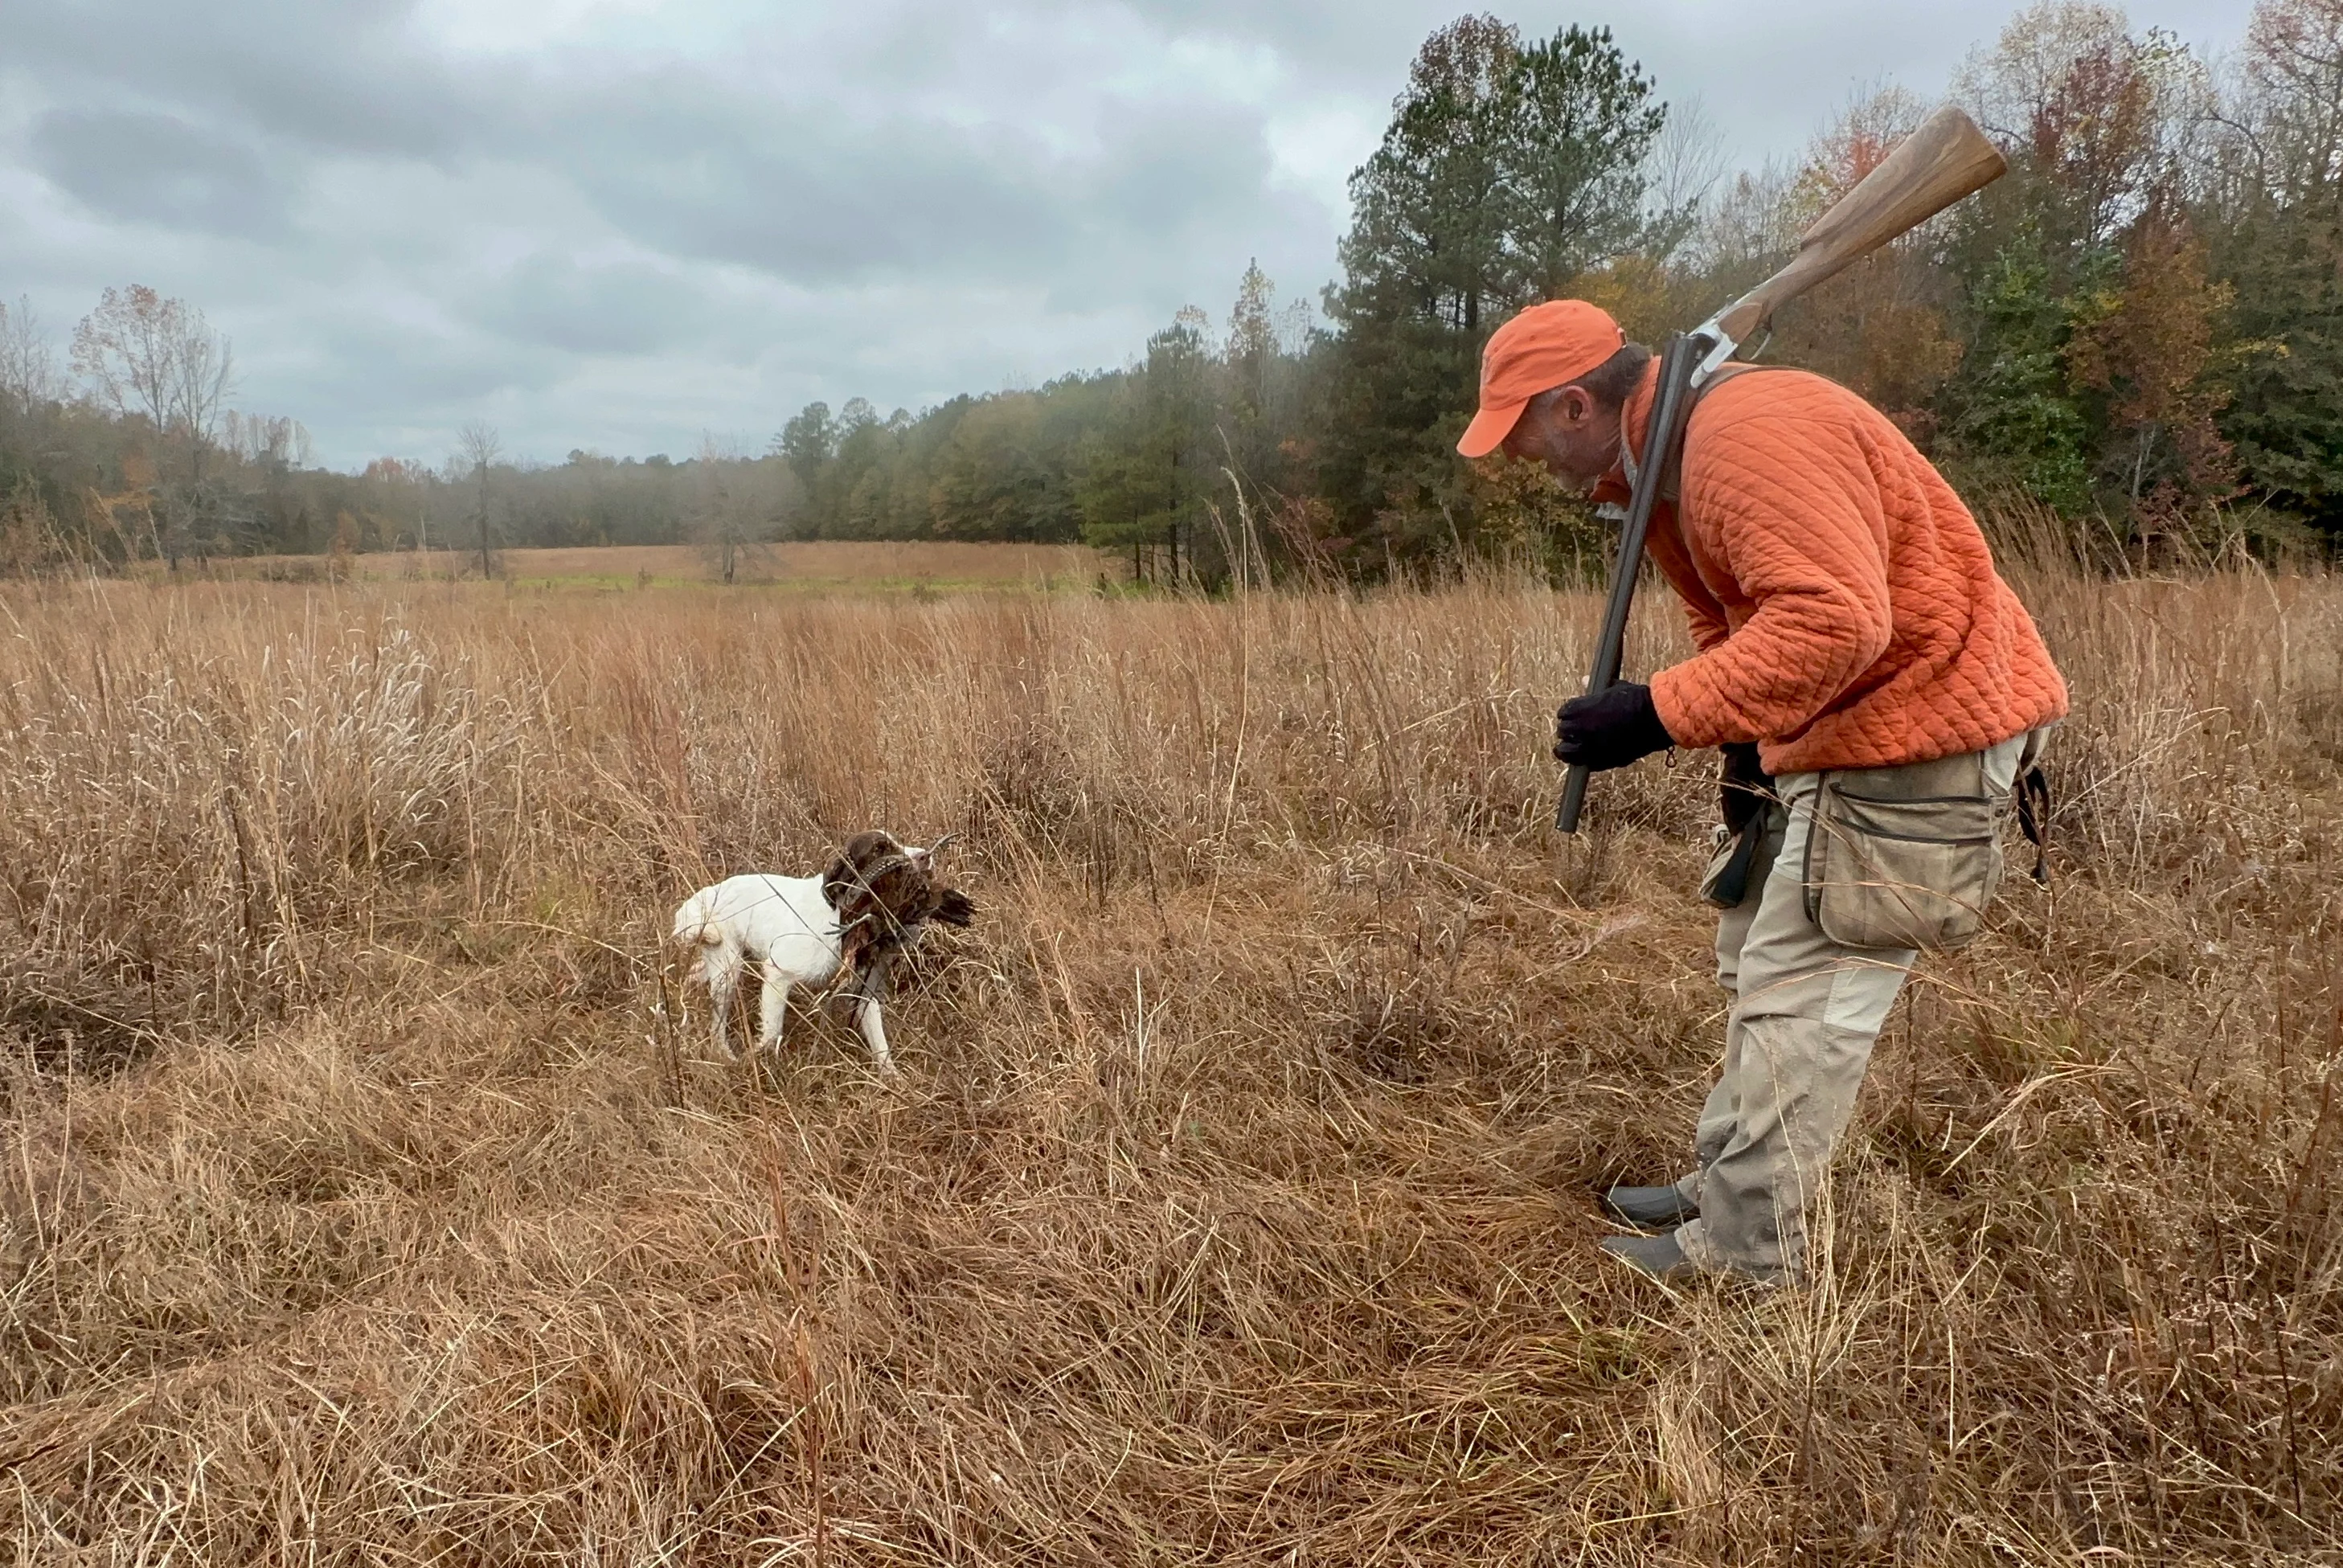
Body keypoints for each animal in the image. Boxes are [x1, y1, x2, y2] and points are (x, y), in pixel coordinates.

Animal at [674, 829, 974, 1078]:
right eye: (880, 848)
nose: (925, 856)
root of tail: (706, 894)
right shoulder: (778, 975)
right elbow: (772, 1033)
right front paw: (758, 1060)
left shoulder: (864, 985)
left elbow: (879, 1041)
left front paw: (893, 1079)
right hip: (727, 967)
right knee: (717, 1023)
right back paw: (724, 1055)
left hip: (723, 961)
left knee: (694, 977)